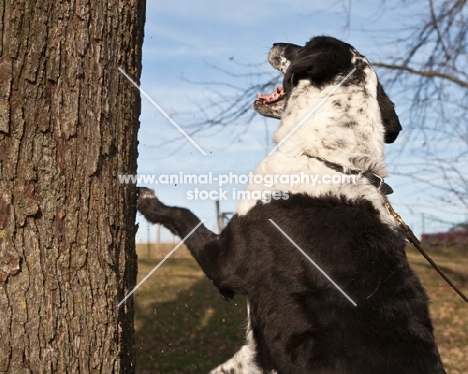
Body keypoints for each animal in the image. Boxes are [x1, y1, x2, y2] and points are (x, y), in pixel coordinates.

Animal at [136, 35, 446, 374]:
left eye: (306, 44)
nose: (274, 42)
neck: (333, 160)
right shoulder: (256, 356)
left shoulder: (224, 261)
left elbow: (185, 216)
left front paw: (147, 200)